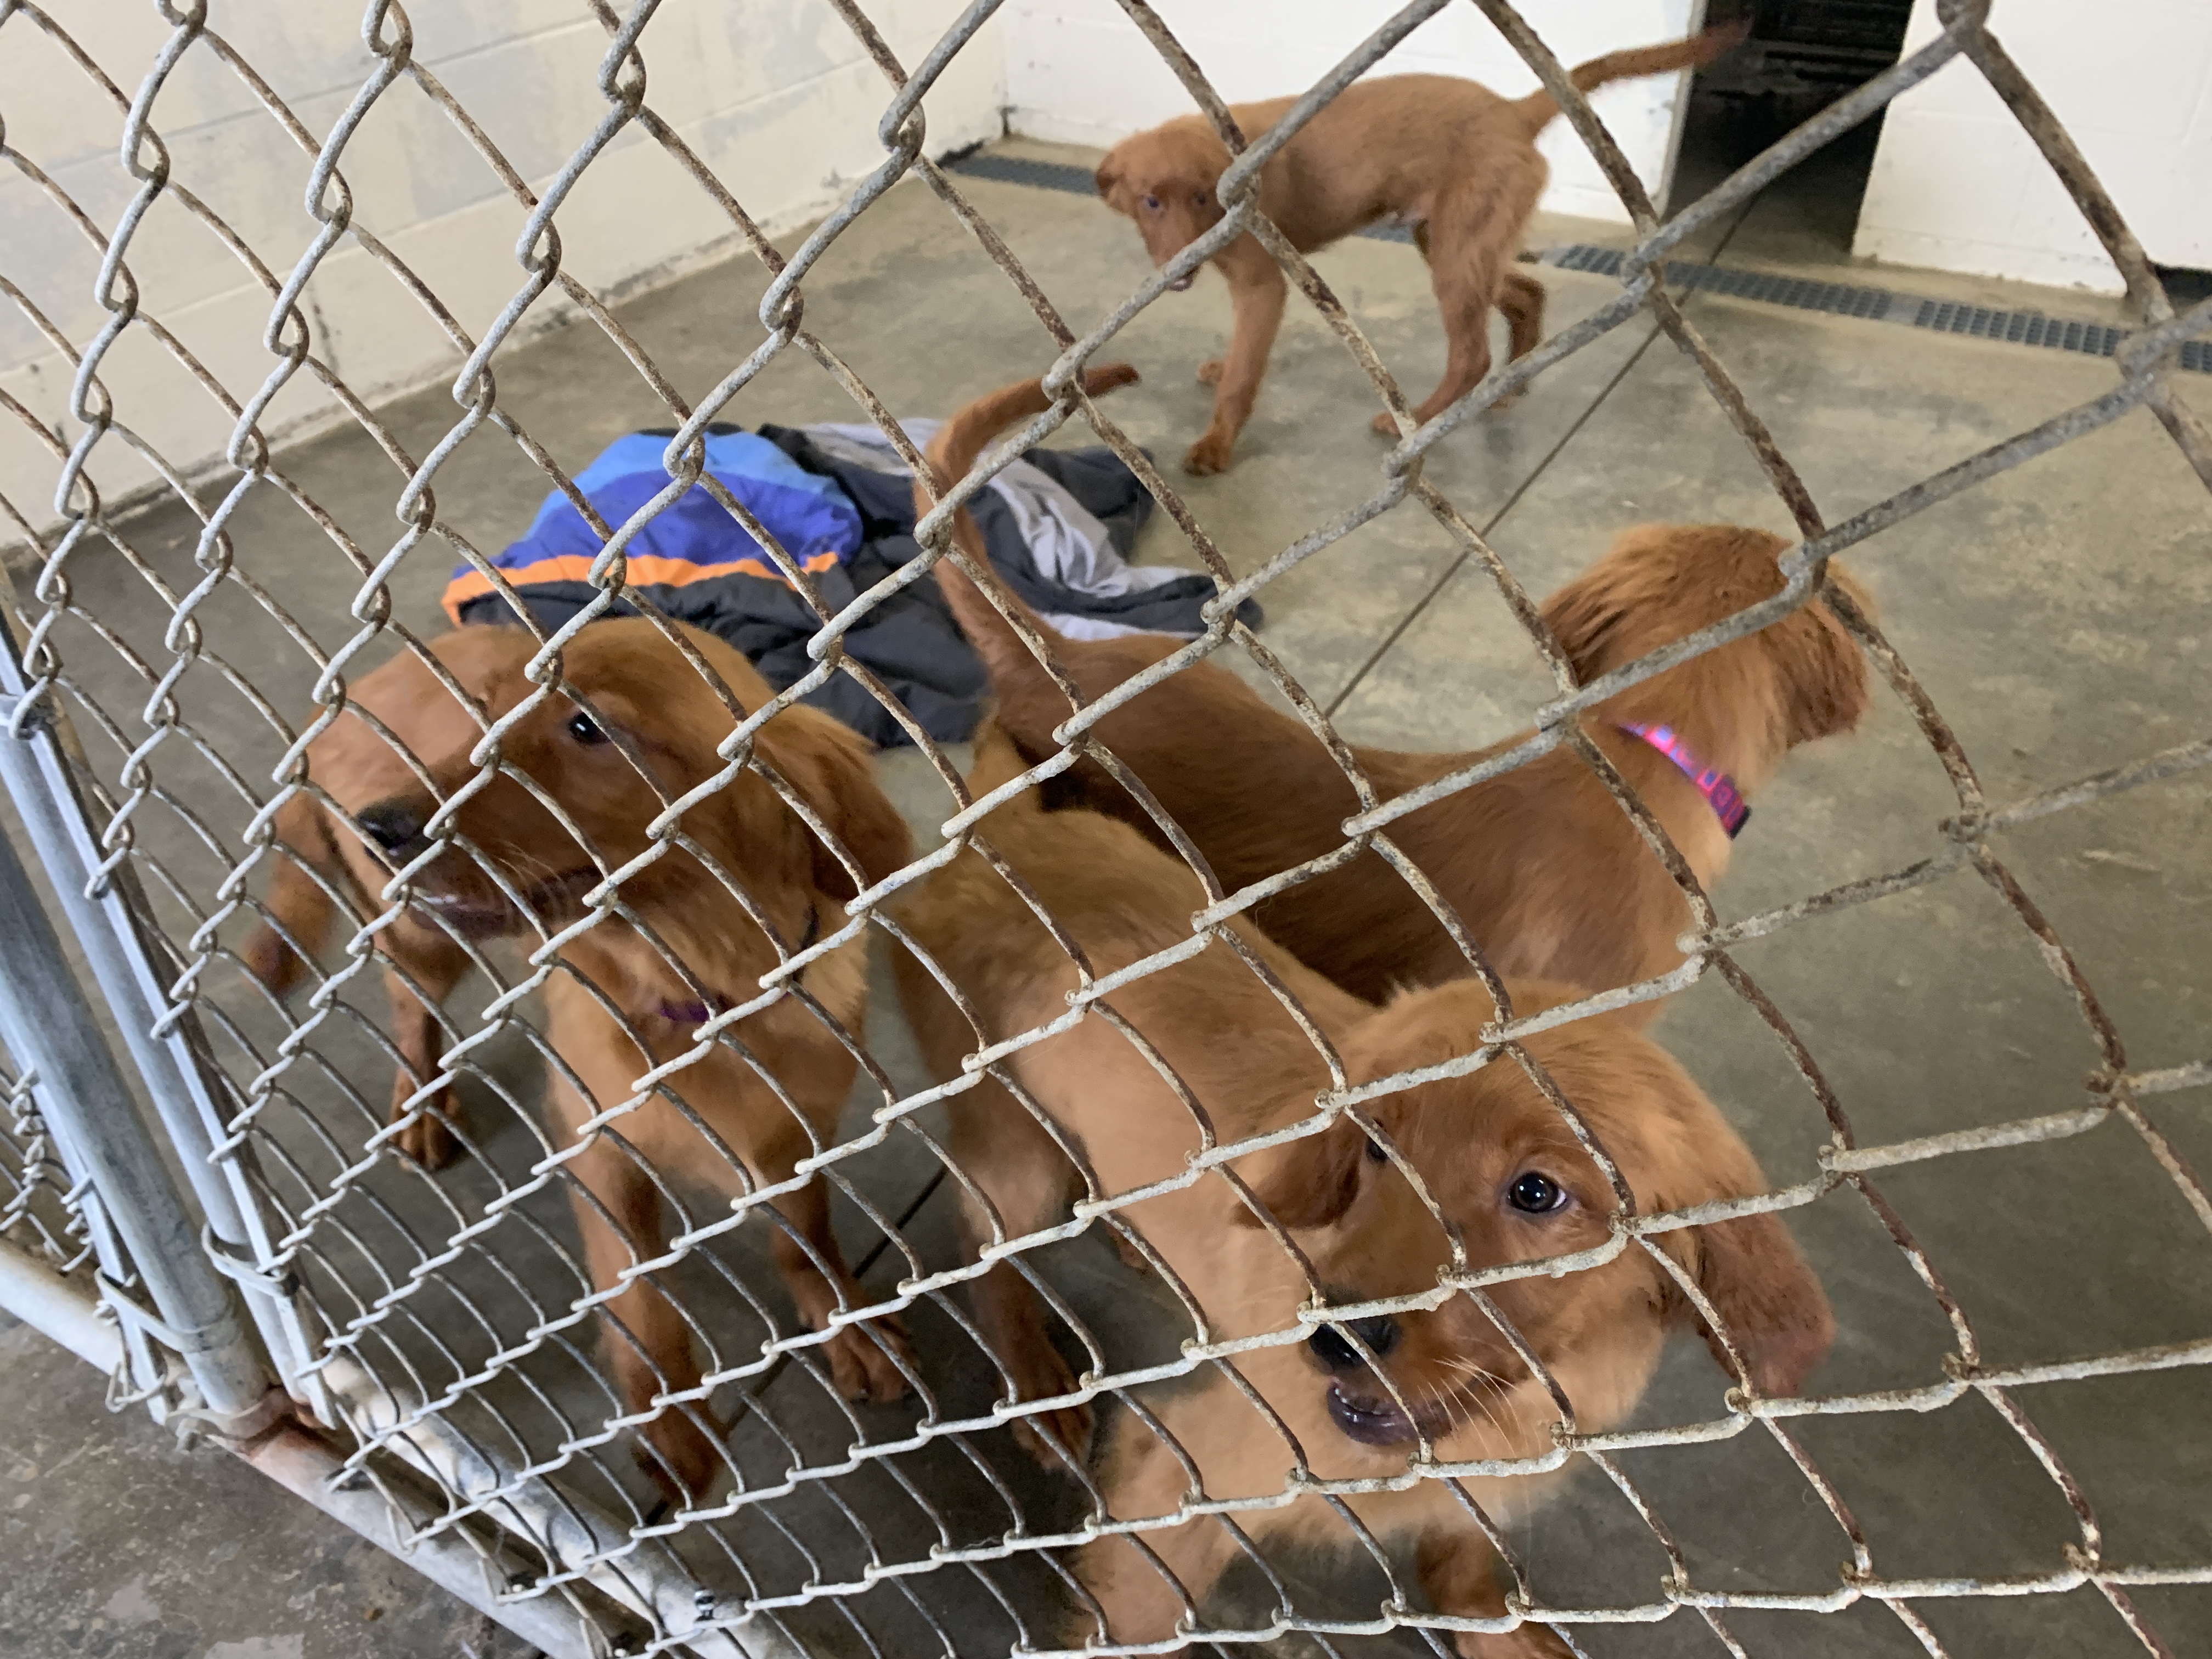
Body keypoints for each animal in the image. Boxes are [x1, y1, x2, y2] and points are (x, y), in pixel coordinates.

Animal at [249, 624, 916, 1504]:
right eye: (489, 714)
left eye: (587, 727)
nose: (381, 825)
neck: (700, 999)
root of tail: (357, 685)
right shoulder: (598, 1145)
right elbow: (641, 1300)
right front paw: (670, 1423)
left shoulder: (793, 1136)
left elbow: (806, 1236)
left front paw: (847, 1322)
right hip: (422, 939)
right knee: (410, 1009)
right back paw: (421, 1103)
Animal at [884, 738, 1831, 1659]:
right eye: (1375, 1147)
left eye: (1537, 1192)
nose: (1335, 1337)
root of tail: (1008, 831)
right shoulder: (1181, 1477)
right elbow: (1145, 1622)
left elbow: (1465, 1549)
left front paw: (1492, 1626)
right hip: (1011, 1147)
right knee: (985, 1249)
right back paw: (1031, 1373)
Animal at [1092, 22, 1743, 473]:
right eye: (1151, 202)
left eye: (1203, 197)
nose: (1182, 268)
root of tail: (1514, 111)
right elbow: (1239, 359)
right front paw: (1221, 371)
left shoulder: (1263, 284)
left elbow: (1244, 377)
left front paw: (1216, 445)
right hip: (1453, 242)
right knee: (1526, 293)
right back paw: (1512, 385)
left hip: (1455, 252)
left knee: (1472, 354)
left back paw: (1426, 419)